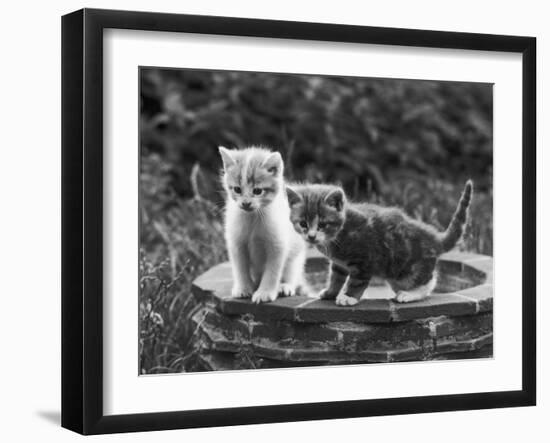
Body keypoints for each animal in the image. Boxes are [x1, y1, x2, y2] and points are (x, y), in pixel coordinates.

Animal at [220, 146, 308, 306]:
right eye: (237, 189)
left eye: (257, 191)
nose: (246, 203)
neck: (253, 217)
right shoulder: (236, 243)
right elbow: (240, 268)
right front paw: (243, 288)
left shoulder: (278, 244)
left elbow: (272, 271)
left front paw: (265, 293)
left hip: (296, 258)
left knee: (293, 274)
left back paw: (285, 286)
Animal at [286, 180, 472, 306]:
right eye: (303, 223)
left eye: (323, 225)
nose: (311, 237)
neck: (338, 235)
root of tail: (433, 237)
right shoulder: (339, 264)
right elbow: (336, 278)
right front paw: (331, 292)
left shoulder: (366, 258)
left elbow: (356, 281)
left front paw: (348, 297)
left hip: (407, 270)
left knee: (428, 282)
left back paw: (409, 294)